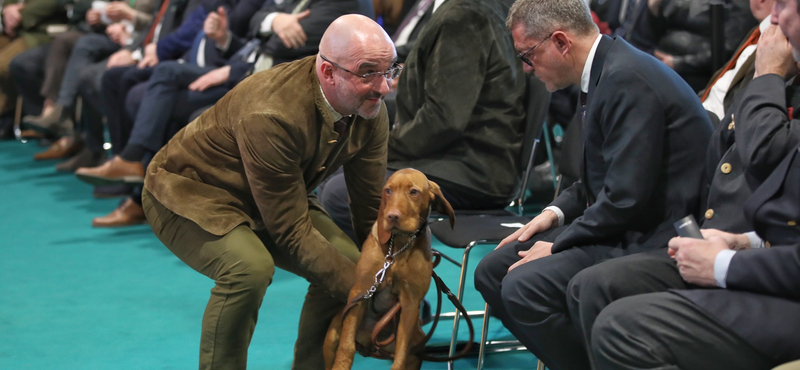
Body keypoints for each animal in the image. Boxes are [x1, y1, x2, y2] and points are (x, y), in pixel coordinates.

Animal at [322, 170, 454, 370]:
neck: (398, 247)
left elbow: (400, 356)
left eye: (413, 192)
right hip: (333, 333)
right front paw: (342, 364)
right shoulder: (361, 290)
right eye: (388, 191)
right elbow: (346, 347)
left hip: (417, 343)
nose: (392, 216)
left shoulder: (410, 303)